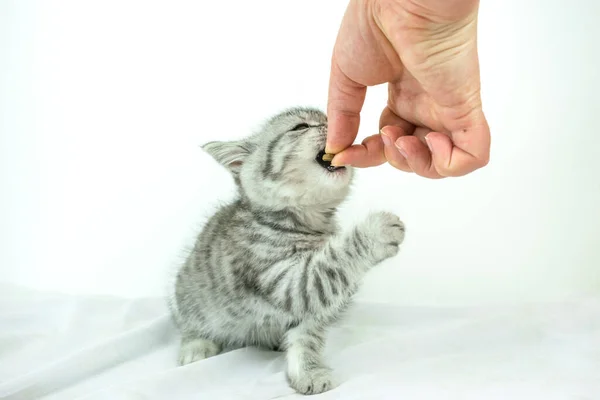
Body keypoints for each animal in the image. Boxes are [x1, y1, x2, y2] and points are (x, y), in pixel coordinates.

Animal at [173, 108, 408, 396]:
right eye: (300, 126)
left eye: (326, 118)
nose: (334, 125)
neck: (308, 224)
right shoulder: (283, 280)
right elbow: (329, 264)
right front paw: (376, 232)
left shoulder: (311, 311)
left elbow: (306, 339)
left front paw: (308, 371)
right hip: (190, 294)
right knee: (191, 322)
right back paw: (196, 346)